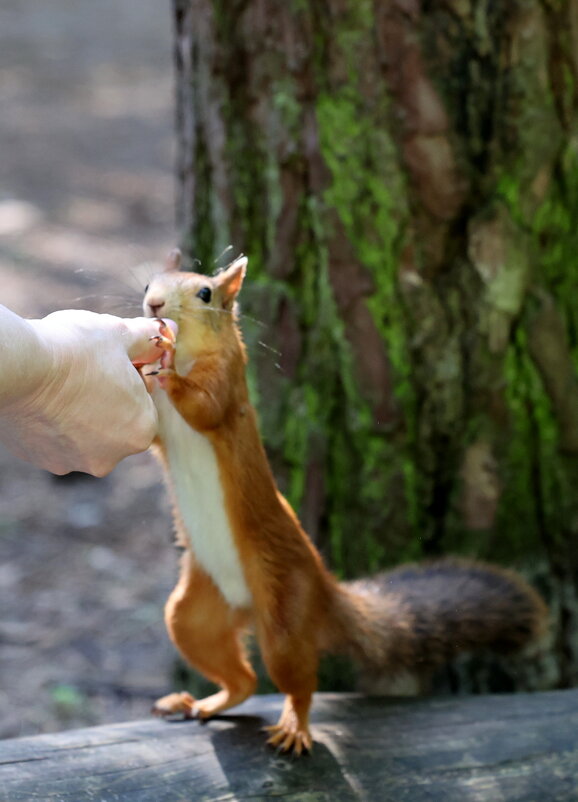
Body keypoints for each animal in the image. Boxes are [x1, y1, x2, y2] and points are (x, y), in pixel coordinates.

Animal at [142, 248, 548, 752]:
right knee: (240, 678)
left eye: (204, 292)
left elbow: (205, 408)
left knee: (295, 679)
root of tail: (322, 588)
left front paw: (168, 367)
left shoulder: (227, 383)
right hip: (197, 614)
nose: (154, 305)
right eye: (149, 284)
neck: (192, 352)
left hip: (285, 608)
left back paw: (294, 725)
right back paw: (200, 702)